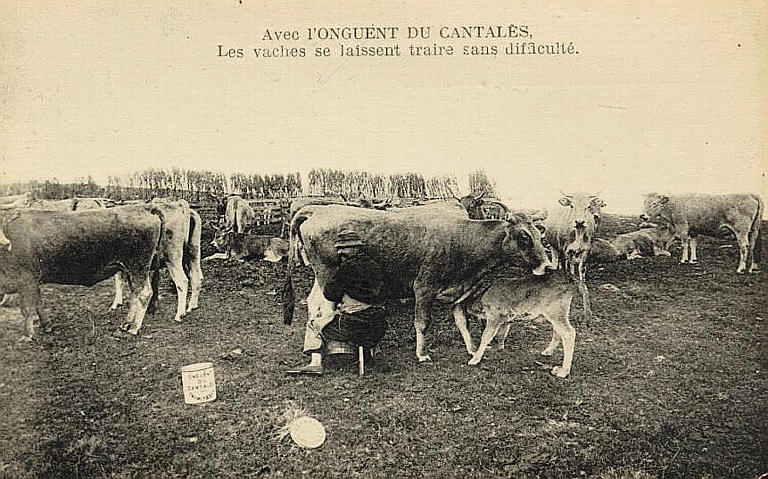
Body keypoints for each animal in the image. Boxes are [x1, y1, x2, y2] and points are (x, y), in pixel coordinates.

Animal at [0, 205, 164, 339]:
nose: (5, 243)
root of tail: (145, 207)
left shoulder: (27, 279)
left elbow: (27, 309)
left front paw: (27, 336)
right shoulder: (34, 281)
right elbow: (38, 304)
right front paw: (47, 326)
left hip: (138, 266)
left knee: (144, 293)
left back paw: (134, 328)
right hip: (130, 269)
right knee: (135, 293)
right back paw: (126, 324)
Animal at [282, 204, 554, 363]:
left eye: (540, 235)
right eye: (524, 237)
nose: (548, 266)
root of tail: (318, 211)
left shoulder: (460, 293)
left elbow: (462, 323)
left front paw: (472, 349)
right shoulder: (424, 287)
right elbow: (422, 322)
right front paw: (422, 355)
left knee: (312, 303)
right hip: (327, 274)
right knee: (324, 313)